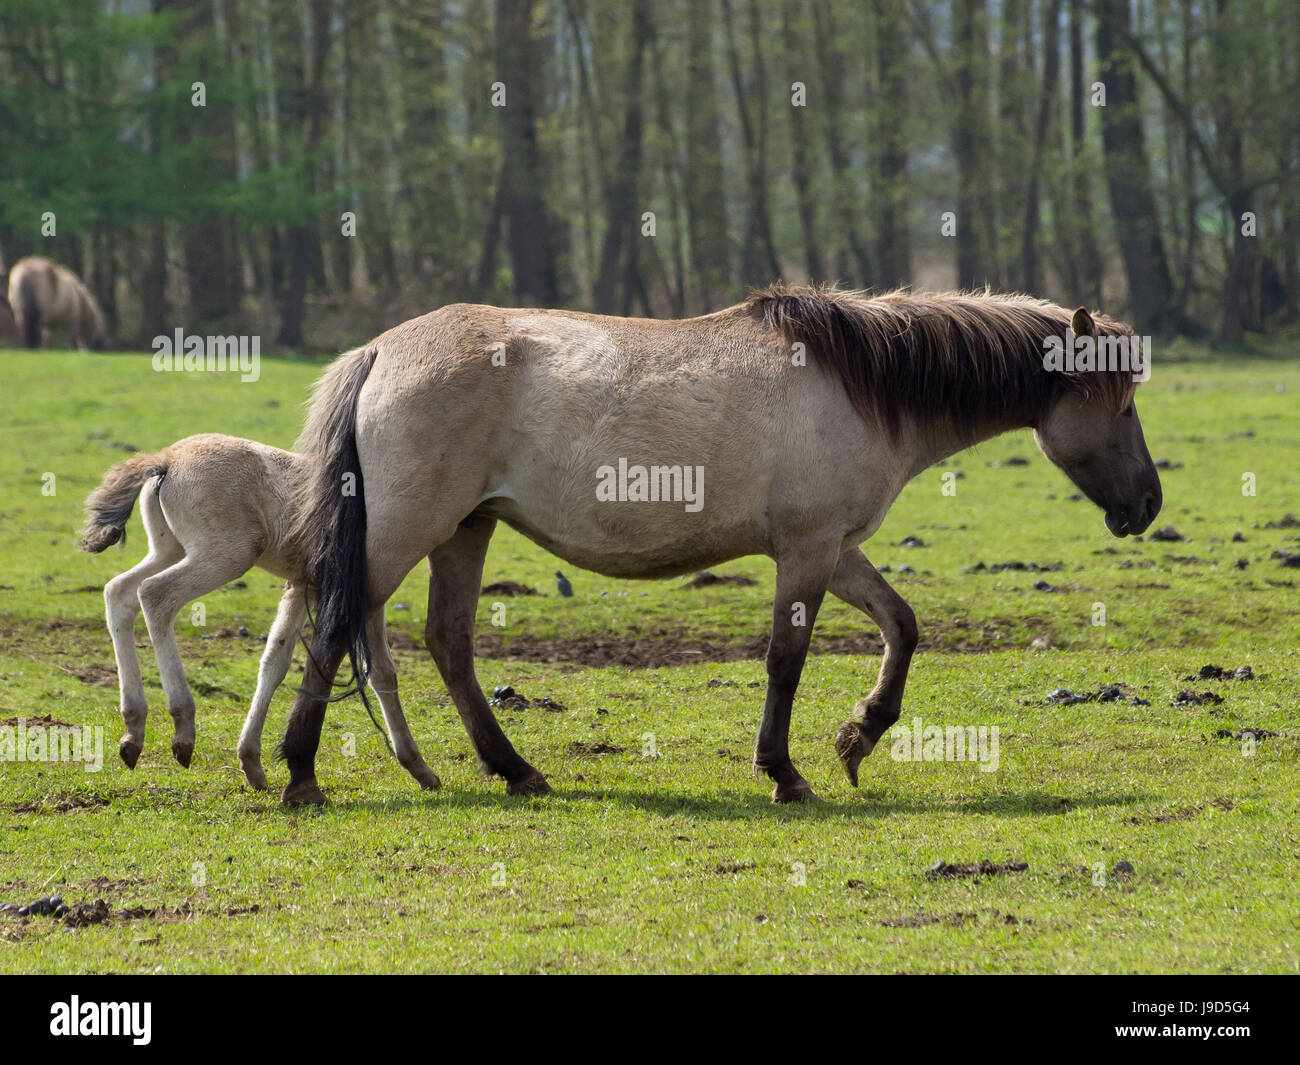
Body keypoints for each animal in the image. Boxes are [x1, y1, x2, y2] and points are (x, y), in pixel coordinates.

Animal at [80, 432, 439, 791]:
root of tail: (167, 459)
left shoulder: (302, 586)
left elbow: (275, 662)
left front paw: (252, 762)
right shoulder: (362, 595)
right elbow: (382, 672)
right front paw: (418, 766)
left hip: (169, 549)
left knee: (119, 592)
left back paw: (133, 730)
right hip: (226, 555)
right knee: (155, 595)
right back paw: (182, 728)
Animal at [276, 285, 1161, 807]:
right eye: (1119, 404)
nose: (1148, 504)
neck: (860, 382)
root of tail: (381, 351)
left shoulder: (835, 548)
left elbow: (903, 625)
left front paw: (860, 734)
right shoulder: (807, 550)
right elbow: (785, 660)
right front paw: (785, 771)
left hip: (468, 528)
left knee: (448, 643)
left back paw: (514, 769)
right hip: (404, 535)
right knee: (335, 627)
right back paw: (300, 773)